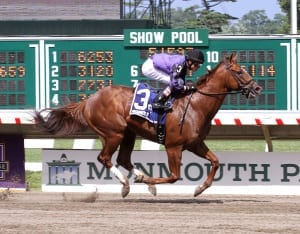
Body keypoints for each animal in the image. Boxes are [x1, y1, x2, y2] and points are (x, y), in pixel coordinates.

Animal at [34, 54, 262, 197]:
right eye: (239, 72)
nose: (258, 88)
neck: (195, 105)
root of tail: (88, 100)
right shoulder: (173, 146)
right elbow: (174, 176)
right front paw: (151, 183)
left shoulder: (195, 144)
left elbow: (215, 162)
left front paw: (199, 188)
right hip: (114, 133)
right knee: (105, 158)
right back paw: (127, 184)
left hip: (128, 134)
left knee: (123, 159)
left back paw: (139, 177)